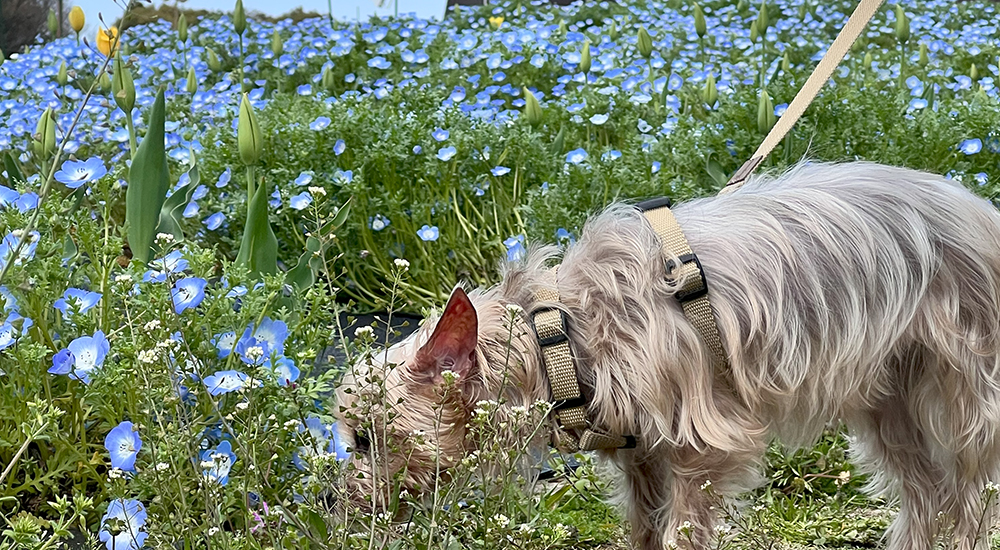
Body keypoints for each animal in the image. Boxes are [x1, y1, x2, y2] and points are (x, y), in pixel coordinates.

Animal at [332, 164, 1000, 550]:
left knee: (972, 493)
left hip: (966, 382)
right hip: (887, 392)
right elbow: (644, 528)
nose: (334, 502)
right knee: (924, 490)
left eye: (365, 439)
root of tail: (981, 209)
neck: (561, 335)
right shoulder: (643, 457)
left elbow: (683, 528)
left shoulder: (703, 446)